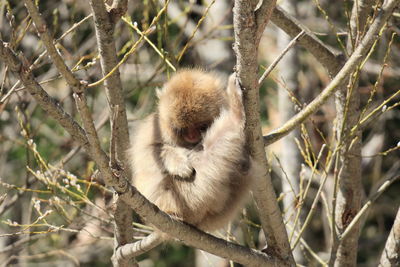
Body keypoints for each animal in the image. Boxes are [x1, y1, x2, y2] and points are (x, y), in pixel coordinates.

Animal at [127, 69, 260, 232]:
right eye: (183, 129)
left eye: (201, 126)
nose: (192, 136)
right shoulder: (155, 126)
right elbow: (146, 153)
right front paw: (179, 163)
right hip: (177, 198)